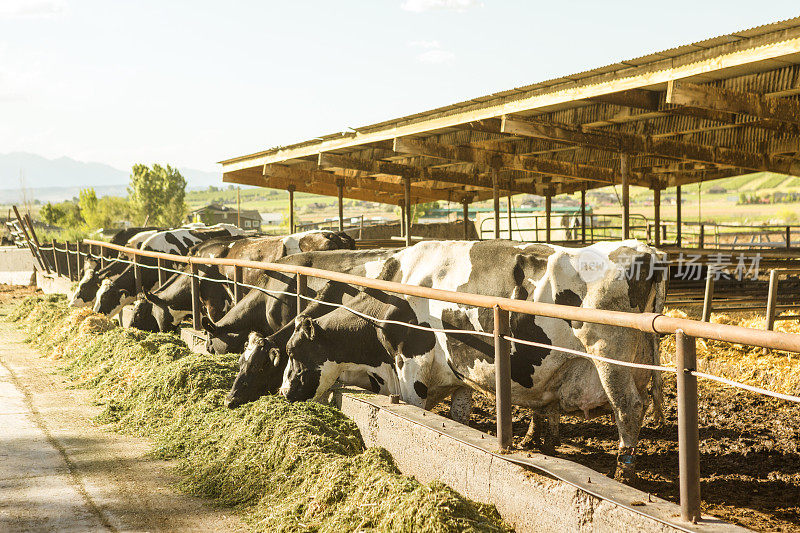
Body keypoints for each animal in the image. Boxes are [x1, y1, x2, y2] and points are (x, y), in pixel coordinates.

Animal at [278, 239, 664, 480]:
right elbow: (458, 417)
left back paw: (623, 471)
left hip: (609, 356)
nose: (282, 393)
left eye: (292, 352)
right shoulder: (457, 373)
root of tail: (644, 250)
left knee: (628, 407)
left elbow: (414, 412)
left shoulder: (410, 366)